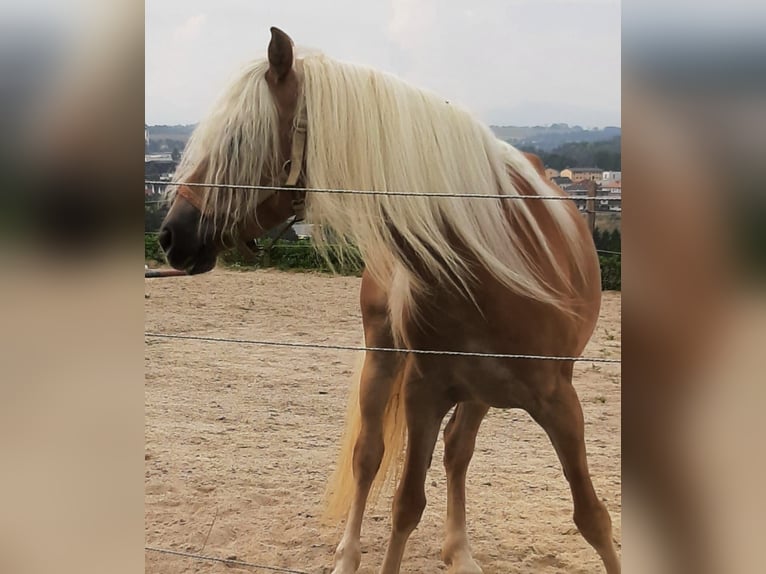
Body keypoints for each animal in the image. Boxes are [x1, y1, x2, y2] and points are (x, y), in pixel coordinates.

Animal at [159, 24, 620, 572]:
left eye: (237, 140)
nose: (171, 235)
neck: (491, 260)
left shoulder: (559, 401)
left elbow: (593, 517)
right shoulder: (424, 395)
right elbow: (405, 506)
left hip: (482, 393)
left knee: (457, 450)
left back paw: (459, 550)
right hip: (383, 362)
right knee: (369, 456)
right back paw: (349, 555)